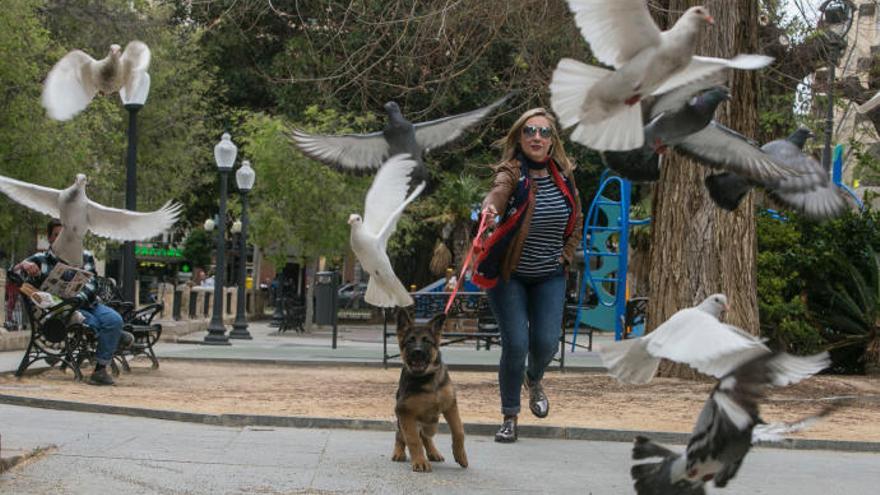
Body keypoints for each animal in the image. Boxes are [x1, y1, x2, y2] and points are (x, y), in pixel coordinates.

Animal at [394, 310, 468, 472]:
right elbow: (413, 440)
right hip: (406, 420)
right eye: (410, 341)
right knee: (401, 435)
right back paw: (398, 452)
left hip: (432, 422)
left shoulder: (451, 406)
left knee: (426, 435)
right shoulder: (405, 413)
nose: (417, 352)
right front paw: (420, 461)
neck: (427, 379)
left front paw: (460, 455)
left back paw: (433, 452)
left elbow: (459, 431)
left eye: (426, 341)